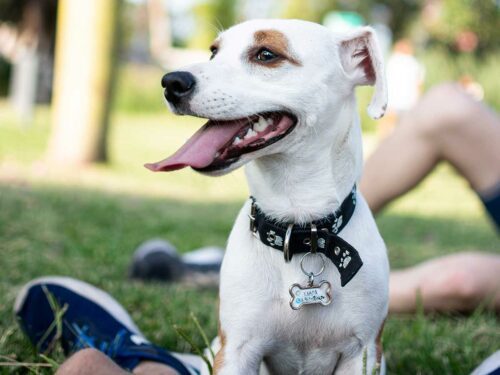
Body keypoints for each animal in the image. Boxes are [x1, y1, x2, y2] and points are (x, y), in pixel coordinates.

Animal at [147, 19, 390, 375]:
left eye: (266, 54)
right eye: (214, 52)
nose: (172, 81)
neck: (300, 228)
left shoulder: (363, 353)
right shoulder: (236, 350)